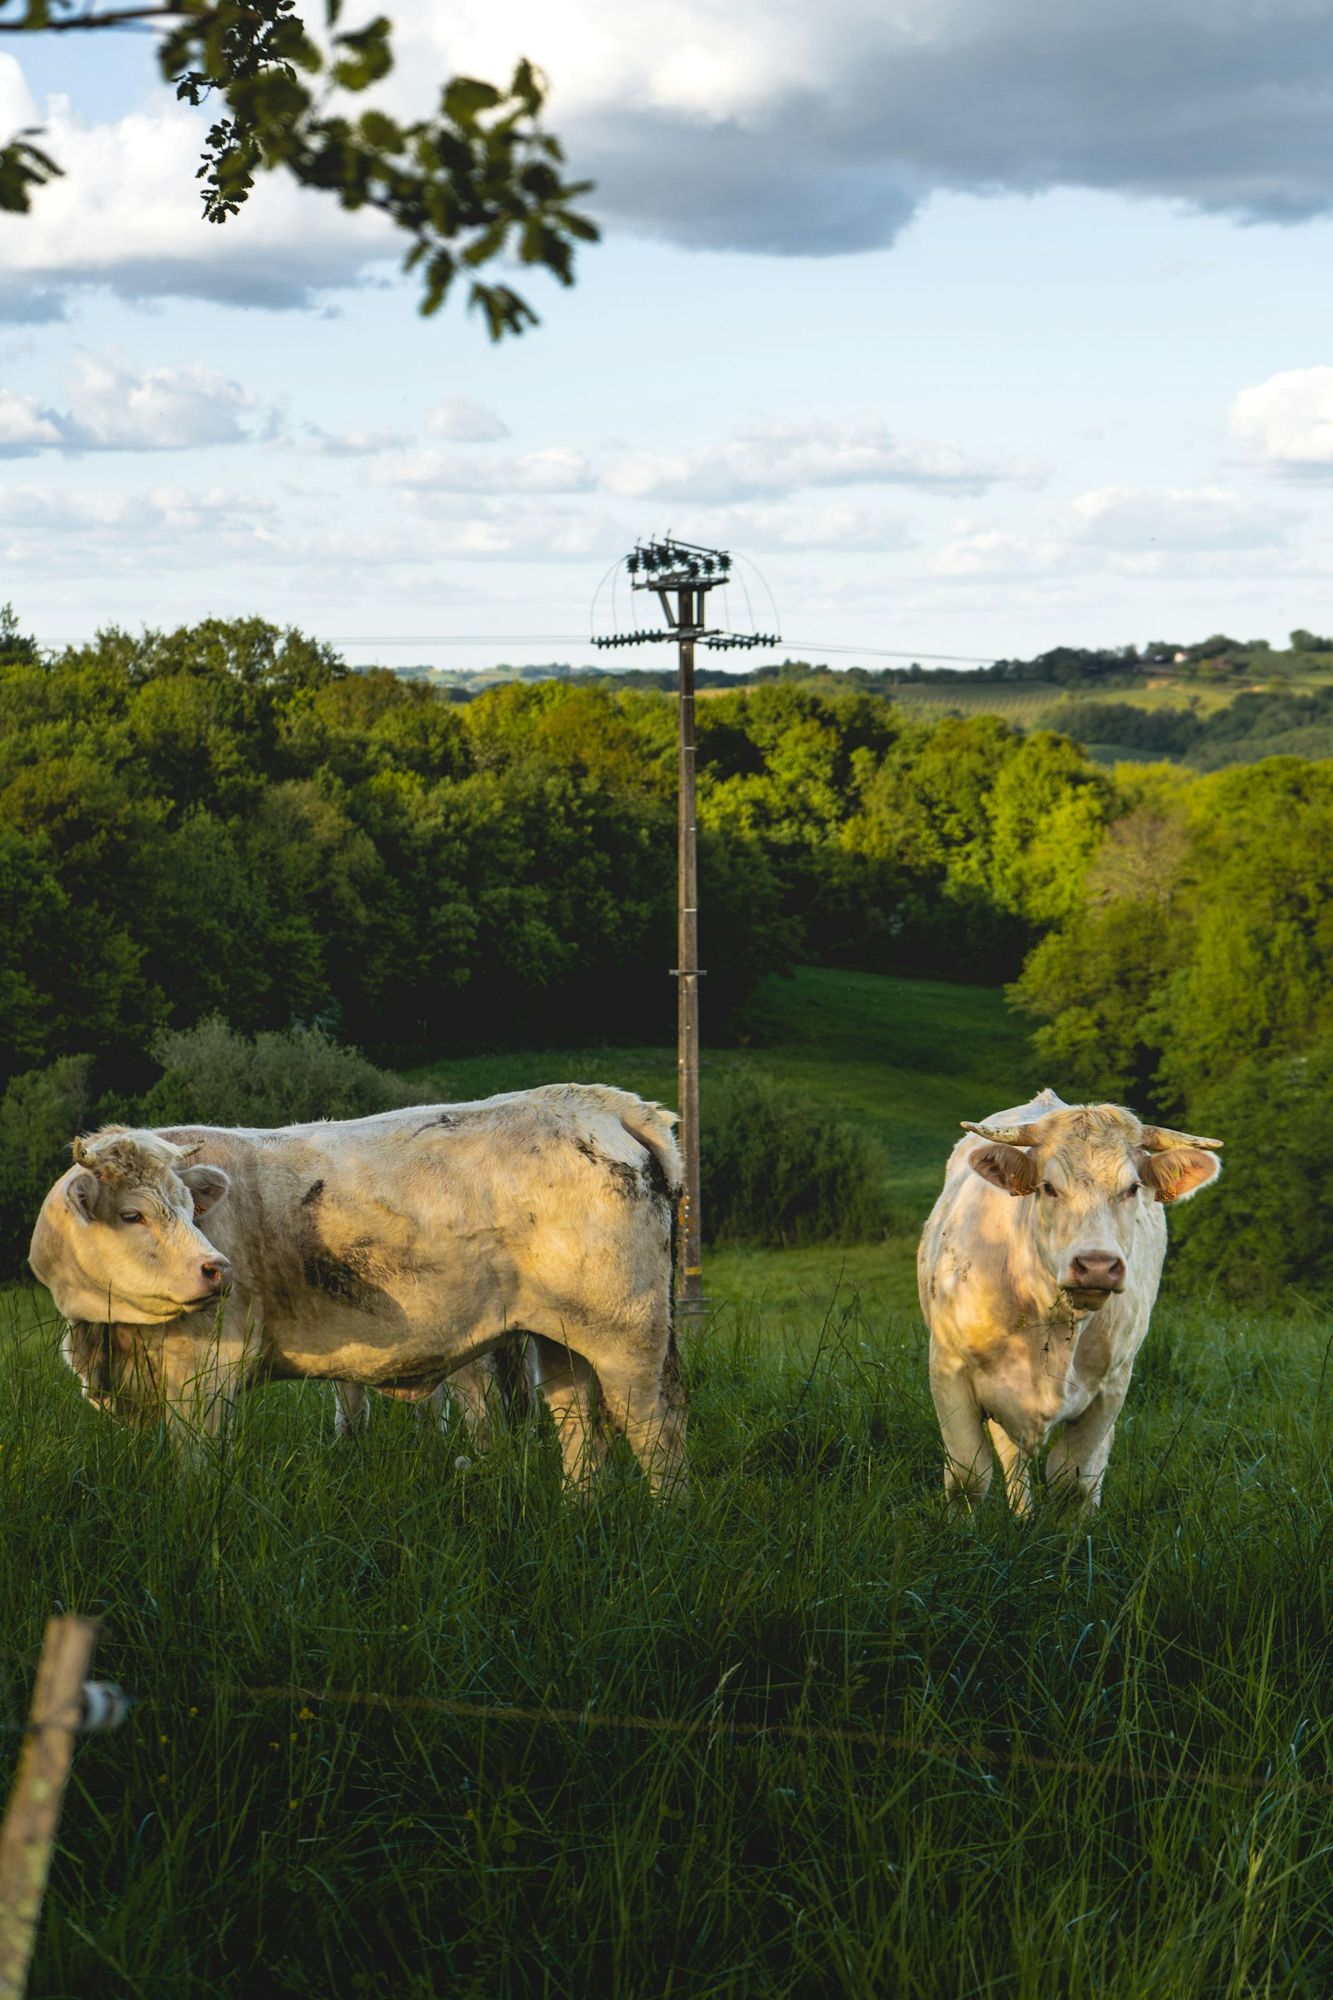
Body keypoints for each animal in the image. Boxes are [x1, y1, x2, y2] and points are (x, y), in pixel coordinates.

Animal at [29, 1084, 686, 1496]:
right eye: (133, 1215)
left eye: (191, 1210)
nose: (217, 1270)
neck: (106, 1339)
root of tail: (592, 1101)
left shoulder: (207, 1371)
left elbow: (196, 1463)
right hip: (561, 1337)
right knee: (578, 1428)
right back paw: (581, 1513)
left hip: (631, 1335)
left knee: (657, 1433)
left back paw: (665, 1525)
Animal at [918, 1089, 1222, 1514]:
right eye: (1048, 1186)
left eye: (1132, 1188)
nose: (1097, 1265)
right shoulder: (948, 1369)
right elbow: (968, 1476)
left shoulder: (1112, 1387)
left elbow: (1073, 1480)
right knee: (1012, 1457)